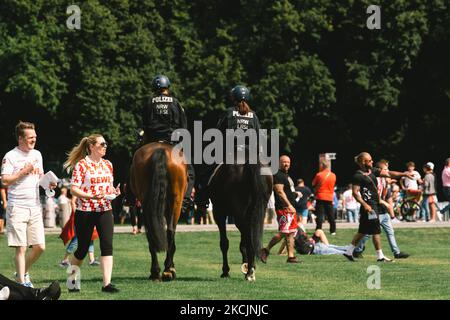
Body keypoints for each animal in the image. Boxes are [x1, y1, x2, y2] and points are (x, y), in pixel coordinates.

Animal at [129, 142, 187, 280]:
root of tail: (161, 149)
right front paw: (171, 267)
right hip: (176, 203)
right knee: (170, 231)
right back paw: (167, 270)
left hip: (147, 204)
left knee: (151, 234)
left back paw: (156, 272)